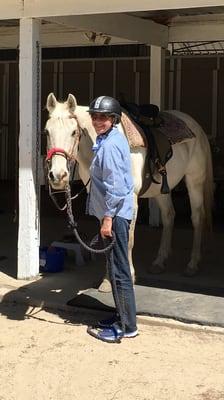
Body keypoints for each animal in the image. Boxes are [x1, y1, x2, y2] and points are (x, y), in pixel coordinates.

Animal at [44, 92, 214, 292]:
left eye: (73, 132)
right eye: (46, 132)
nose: (58, 176)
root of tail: (196, 127)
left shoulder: (129, 200)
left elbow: (128, 239)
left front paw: (130, 276)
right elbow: (107, 238)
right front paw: (107, 280)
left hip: (194, 181)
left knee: (197, 218)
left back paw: (192, 265)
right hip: (162, 190)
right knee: (169, 216)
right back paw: (159, 262)